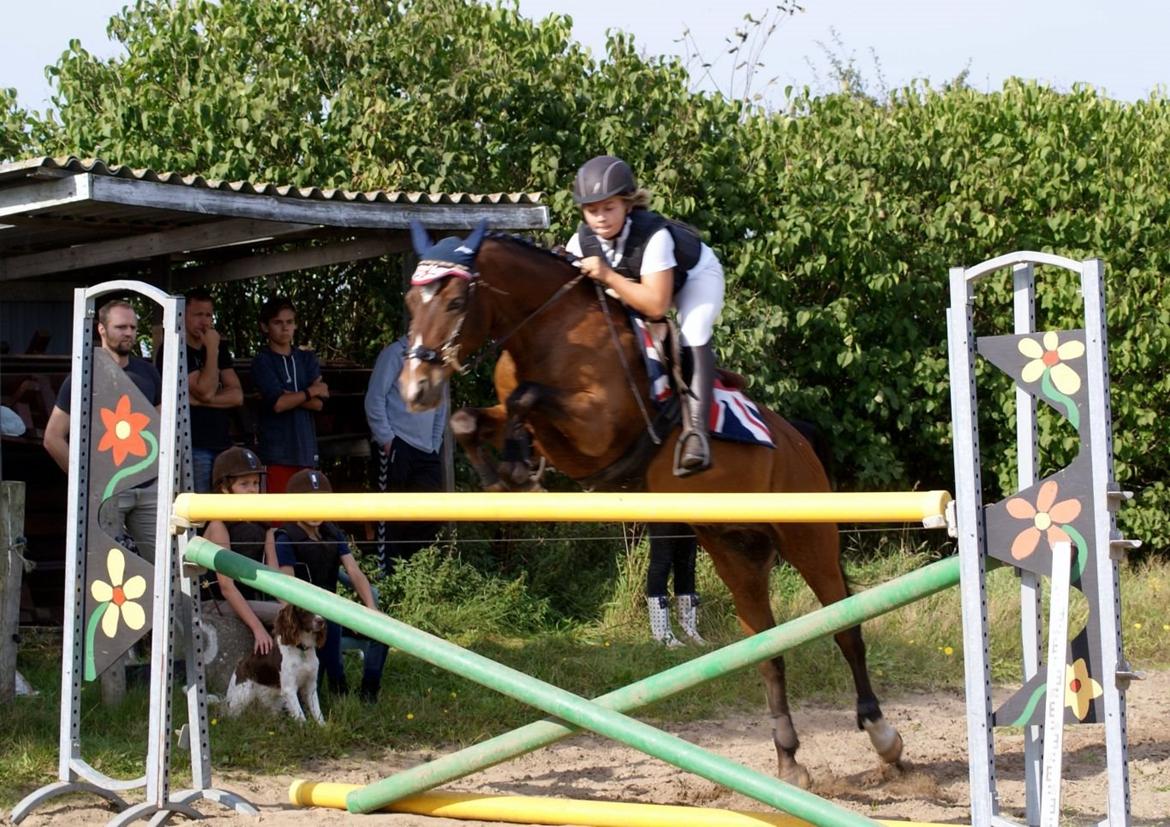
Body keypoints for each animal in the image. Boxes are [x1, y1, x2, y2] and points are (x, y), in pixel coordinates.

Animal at [397, 224, 898, 790]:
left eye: (457, 301)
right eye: (412, 301)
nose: (415, 390)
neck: (546, 327)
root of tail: (798, 439)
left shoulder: (595, 429)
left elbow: (528, 397)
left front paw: (518, 464)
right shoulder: (527, 416)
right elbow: (475, 417)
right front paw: (504, 473)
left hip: (808, 539)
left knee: (847, 628)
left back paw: (883, 736)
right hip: (736, 553)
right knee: (767, 649)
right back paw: (789, 760)